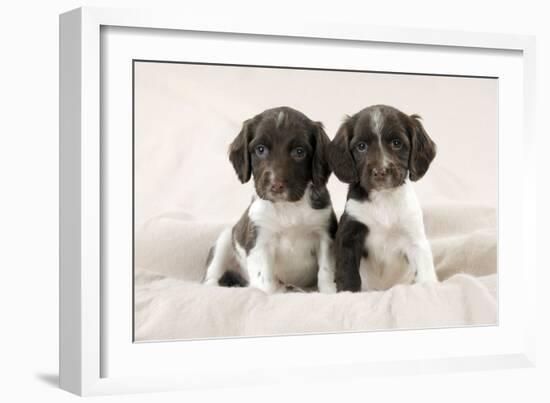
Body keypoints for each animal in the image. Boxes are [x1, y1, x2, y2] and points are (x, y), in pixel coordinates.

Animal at [205, 106, 338, 294]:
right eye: (260, 149)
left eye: (299, 152)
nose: (276, 186)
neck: (288, 207)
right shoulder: (260, 239)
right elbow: (265, 282)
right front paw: (270, 292)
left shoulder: (325, 234)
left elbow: (327, 270)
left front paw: (330, 292)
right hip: (224, 240)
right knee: (212, 276)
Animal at [328, 105, 440, 292]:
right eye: (361, 146)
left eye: (397, 143)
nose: (380, 171)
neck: (383, 198)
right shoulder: (349, 235)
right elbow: (348, 271)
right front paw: (348, 293)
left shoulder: (415, 238)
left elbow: (424, 268)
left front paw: (429, 288)